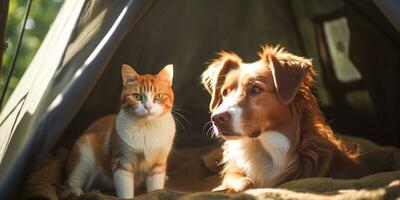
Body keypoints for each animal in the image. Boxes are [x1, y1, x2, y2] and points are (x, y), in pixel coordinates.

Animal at [65, 64, 175, 198]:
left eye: (158, 96)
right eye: (137, 96)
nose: (148, 107)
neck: (147, 127)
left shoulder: (158, 165)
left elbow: (156, 188)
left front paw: (157, 192)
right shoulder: (122, 161)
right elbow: (125, 189)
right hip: (84, 157)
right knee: (72, 178)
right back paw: (76, 191)